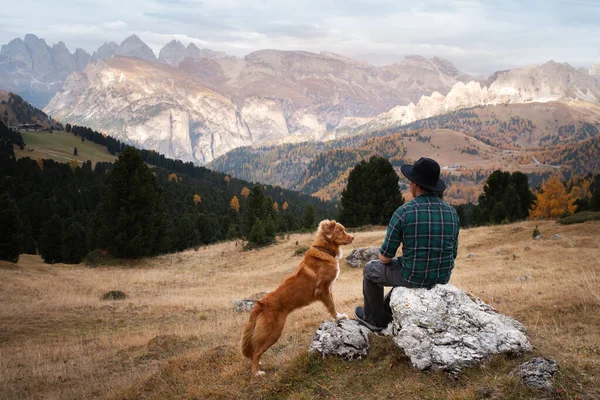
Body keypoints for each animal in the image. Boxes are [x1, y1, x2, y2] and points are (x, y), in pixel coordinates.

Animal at [241, 220, 354, 376]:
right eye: (340, 231)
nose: (353, 237)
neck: (324, 250)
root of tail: (260, 303)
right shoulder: (323, 289)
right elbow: (331, 305)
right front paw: (338, 317)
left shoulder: (328, 290)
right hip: (272, 332)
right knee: (257, 352)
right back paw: (256, 372)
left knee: (255, 353)